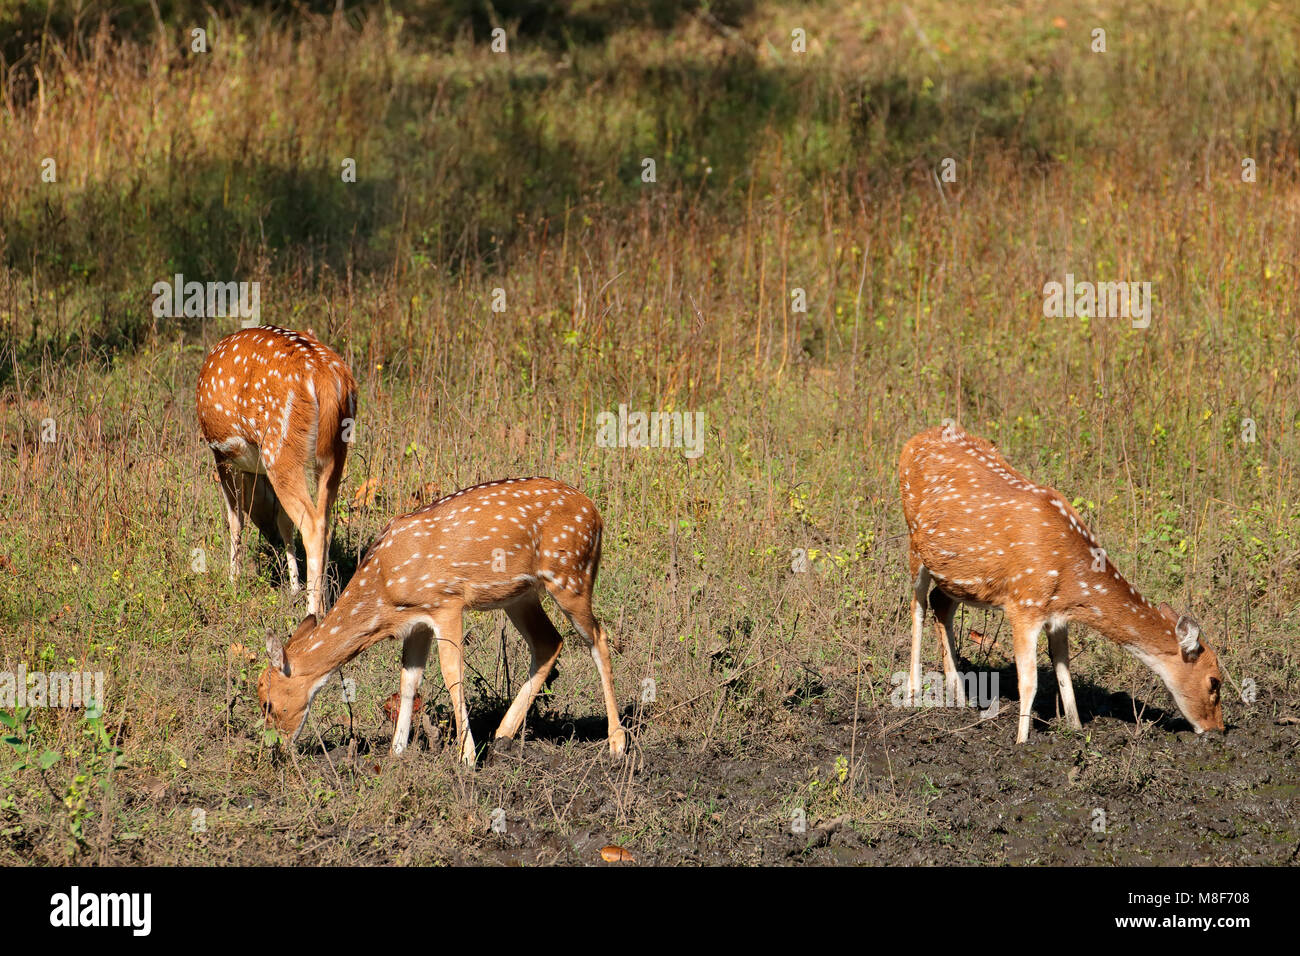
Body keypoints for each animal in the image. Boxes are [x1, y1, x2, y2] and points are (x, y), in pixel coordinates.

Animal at [195, 325, 356, 616]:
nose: (268, 535)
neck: (255, 478)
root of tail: (325, 378)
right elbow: (285, 521)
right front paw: (293, 586)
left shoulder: (221, 454)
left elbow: (235, 519)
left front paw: (233, 582)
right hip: (335, 451)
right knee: (324, 522)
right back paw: (326, 605)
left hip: (280, 447)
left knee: (312, 525)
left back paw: (312, 613)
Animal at [256, 476, 626, 764]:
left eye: (267, 703)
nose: (276, 750)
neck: (384, 588)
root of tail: (596, 514)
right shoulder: (415, 622)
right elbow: (408, 680)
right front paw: (397, 752)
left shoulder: (446, 602)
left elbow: (452, 674)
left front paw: (466, 757)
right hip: (520, 595)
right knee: (549, 642)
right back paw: (503, 734)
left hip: (571, 575)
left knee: (598, 638)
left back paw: (617, 743)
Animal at [899, 426, 1222, 749]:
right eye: (1214, 682)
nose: (1217, 730)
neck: (1069, 580)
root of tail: (916, 439)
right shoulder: (1023, 604)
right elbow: (1029, 681)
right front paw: (1021, 741)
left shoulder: (1057, 616)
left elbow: (1064, 670)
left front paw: (1076, 728)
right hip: (915, 544)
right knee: (918, 605)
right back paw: (914, 692)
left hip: (956, 576)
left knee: (940, 603)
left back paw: (961, 697)